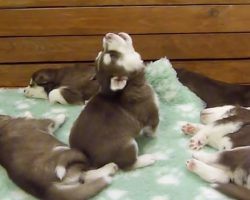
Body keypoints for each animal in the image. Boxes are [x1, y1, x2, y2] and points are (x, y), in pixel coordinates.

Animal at [69, 32, 159, 169]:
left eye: (102, 52)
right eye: (113, 56)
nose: (107, 35)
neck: (131, 84)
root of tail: (90, 162)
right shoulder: (152, 113)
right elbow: (153, 128)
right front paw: (154, 135)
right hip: (128, 145)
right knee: (128, 164)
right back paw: (146, 159)